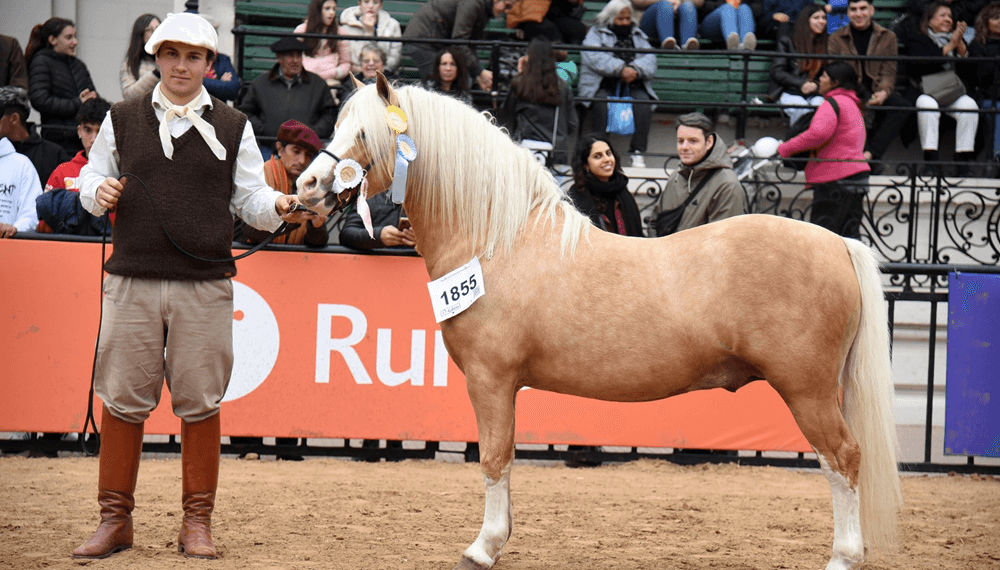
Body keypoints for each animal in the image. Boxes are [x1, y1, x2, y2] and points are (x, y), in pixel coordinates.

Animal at [298, 75, 908, 568]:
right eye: (340, 124)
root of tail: (838, 242)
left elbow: (494, 458)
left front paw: (483, 548)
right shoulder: (504, 387)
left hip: (807, 390)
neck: (498, 241)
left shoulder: (490, 380)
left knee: (843, 459)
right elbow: (506, 459)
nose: (306, 187)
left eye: (364, 133)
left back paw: (844, 556)